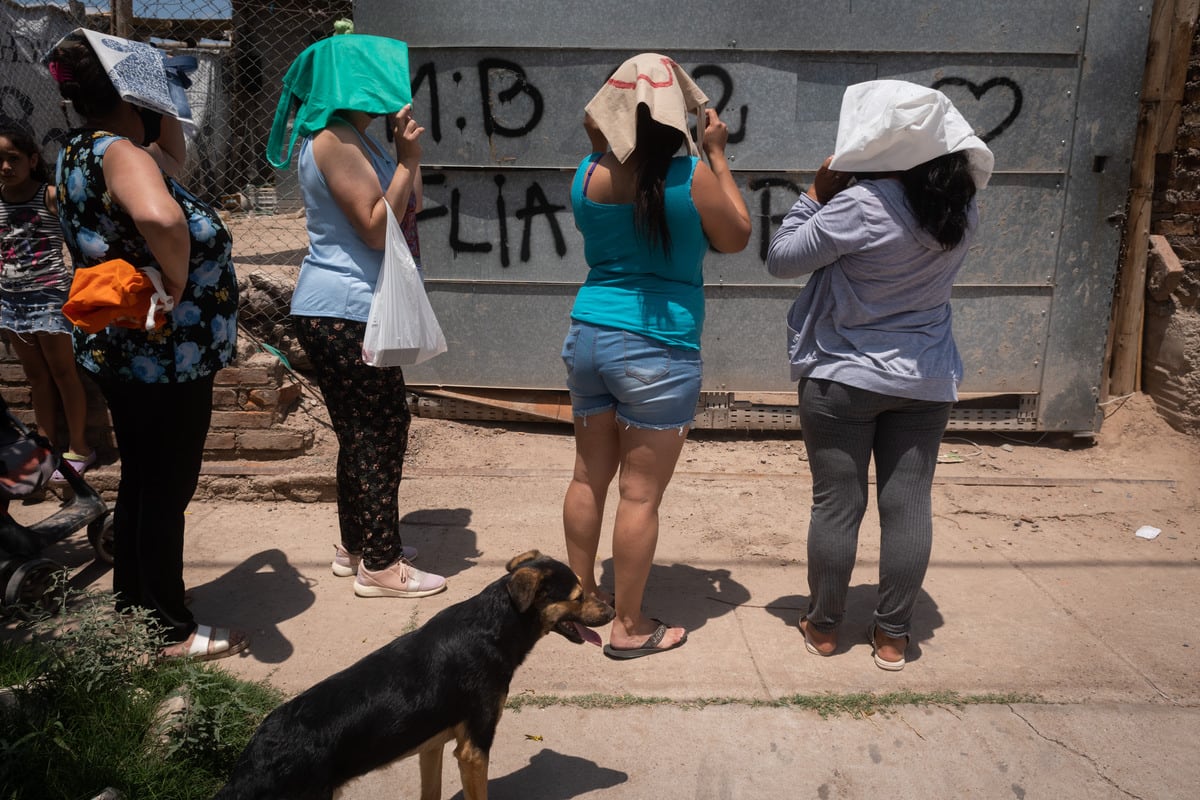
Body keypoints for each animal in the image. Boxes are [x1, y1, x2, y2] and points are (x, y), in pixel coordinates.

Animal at [210, 551, 614, 800]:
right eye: (577, 596)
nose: (612, 611)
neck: (496, 623)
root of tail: (252, 760)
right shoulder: (474, 749)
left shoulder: (433, 746)